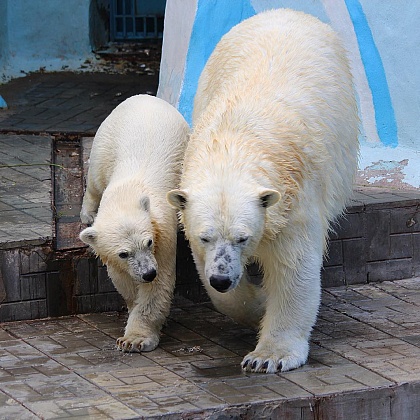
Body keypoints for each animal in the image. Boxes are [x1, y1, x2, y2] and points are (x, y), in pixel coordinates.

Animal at [79, 94, 190, 352]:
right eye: (123, 253)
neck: (126, 196)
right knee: (95, 180)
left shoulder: (161, 233)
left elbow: (158, 286)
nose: (148, 273)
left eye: (148, 242)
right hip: (107, 141)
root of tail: (144, 97)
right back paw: (87, 215)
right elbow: (123, 278)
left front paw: (135, 339)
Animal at [169, 8, 360, 372]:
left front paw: (269, 356)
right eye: (206, 236)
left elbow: (294, 268)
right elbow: (210, 272)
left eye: (243, 238)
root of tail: (285, 11)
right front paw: (255, 303)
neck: (236, 141)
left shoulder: (294, 200)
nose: (221, 278)